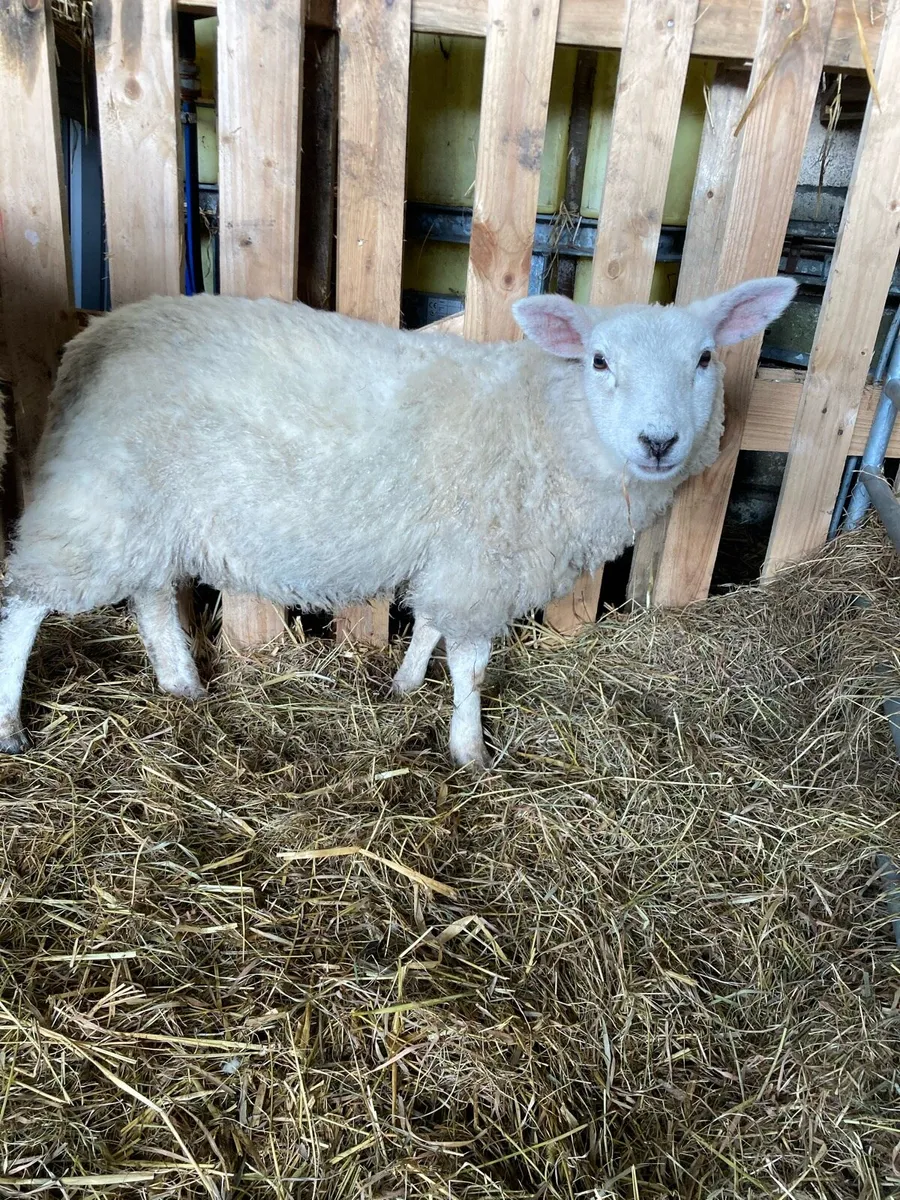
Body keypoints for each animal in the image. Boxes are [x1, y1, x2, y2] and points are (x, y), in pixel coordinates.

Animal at [0, 276, 796, 766]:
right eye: (599, 361)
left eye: (704, 358)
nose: (659, 441)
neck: (546, 422)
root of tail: (94, 339)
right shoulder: (484, 556)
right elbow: (470, 660)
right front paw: (470, 750)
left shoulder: (456, 547)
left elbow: (432, 624)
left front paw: (407, 685)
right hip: (100, 494)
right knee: (26, 600)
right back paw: (11, 725)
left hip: (142, 506)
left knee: (150, 596)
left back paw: (181, 685)